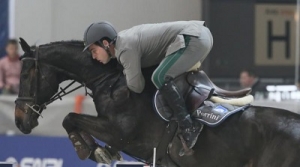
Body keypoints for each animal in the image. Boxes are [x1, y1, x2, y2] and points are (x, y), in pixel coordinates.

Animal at [14, 38, 300, 166]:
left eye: (26, 74)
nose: (19, 121)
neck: (109, 78)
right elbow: (72, 119)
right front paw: (97, 150)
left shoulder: (119, 132)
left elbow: (69, 117)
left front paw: (91, 149)